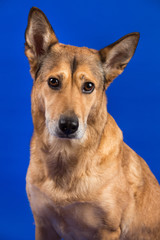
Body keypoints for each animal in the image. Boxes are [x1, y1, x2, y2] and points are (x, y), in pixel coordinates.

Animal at [24, 6, 160, 239]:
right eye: (53, 81)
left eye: (88, 86)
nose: (69, 126)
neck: (65, 157)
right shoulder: (43, 225)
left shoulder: (107, 230)